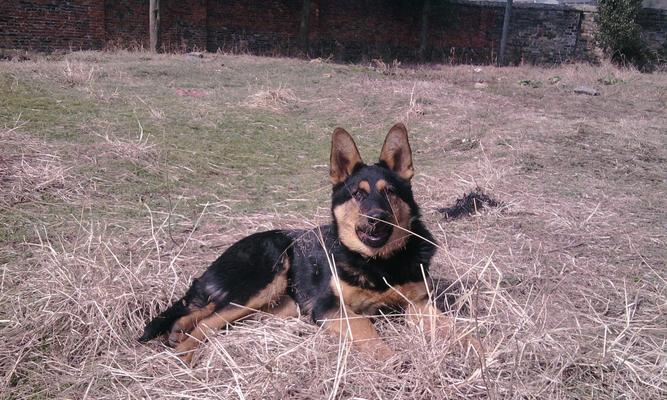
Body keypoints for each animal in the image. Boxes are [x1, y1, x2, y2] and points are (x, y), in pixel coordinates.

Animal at [138, 123, 456, 364]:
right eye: (358, 194)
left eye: (390, 192)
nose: (377, 219)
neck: (378, 263)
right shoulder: (329, 307)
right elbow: (365, 327)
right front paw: (390, 358)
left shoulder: (419, 303)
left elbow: (452, 327)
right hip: (270, 273)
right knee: (209, 319)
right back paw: (184, 353)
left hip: (278, 303)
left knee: (210, 309)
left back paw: (179, 329)